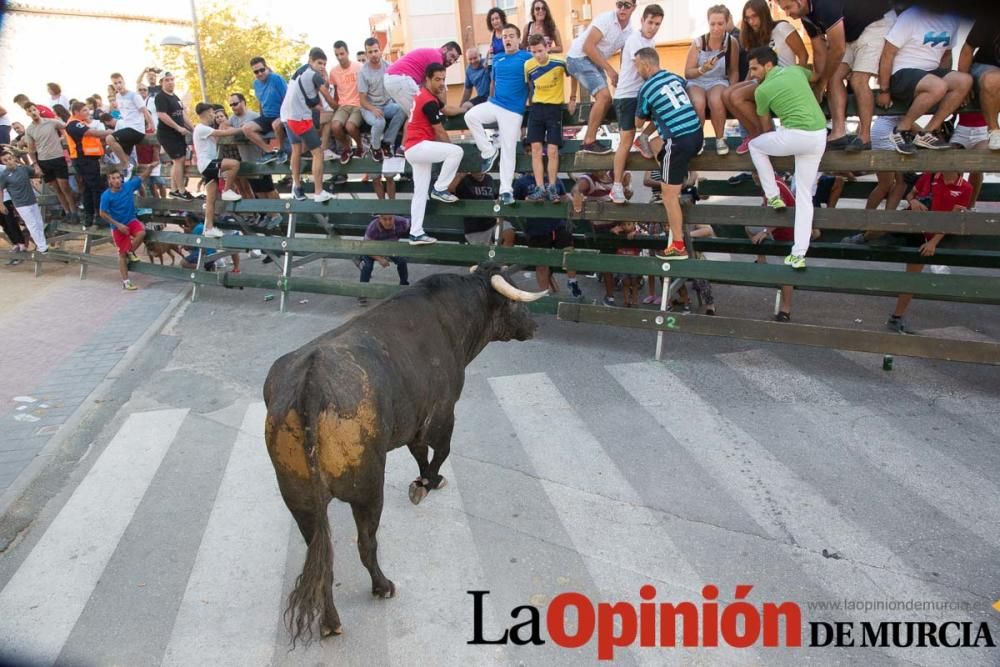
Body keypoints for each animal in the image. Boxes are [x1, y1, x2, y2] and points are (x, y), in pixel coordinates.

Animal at [262, 264, 544, 640]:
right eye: (514, 303)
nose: (534, 326)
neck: (452, 317)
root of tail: (310, 384)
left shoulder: (413, 421)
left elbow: (419, 452)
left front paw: (423, 481)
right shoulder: (441, 414)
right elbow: (439, 452)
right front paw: (426, 484)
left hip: (301, 499)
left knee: (322, 557)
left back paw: (330, 622)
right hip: (368, 490)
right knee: (366, 544)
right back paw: (381, 587)